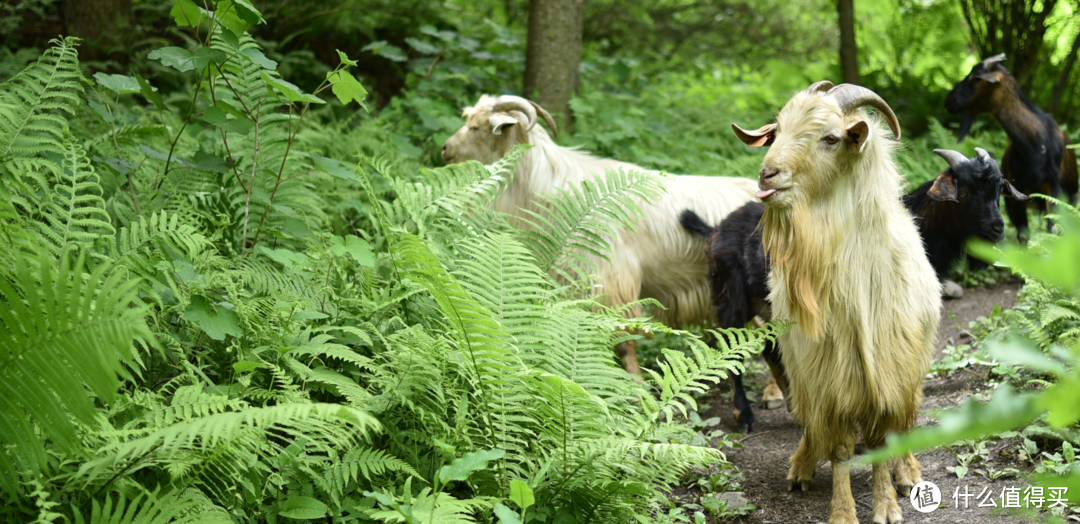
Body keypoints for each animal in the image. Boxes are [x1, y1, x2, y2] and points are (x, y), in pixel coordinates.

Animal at [678, 145, 1023, 430]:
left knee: (769, 348)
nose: (997, 228)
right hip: (729, 298)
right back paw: (745, 416)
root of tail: (714, 229)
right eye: (964, 192)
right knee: (730, 352)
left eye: (998, 189)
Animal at [734, 82, 946, 522]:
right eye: (776, 132)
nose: (767, 173)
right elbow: (840, 449)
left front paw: (887, 505)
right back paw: (801, 464)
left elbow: (882, 439)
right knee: (810, 425)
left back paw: (908, 474)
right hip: (801, 371)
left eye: (830, 138)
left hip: (913, 368)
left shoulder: (887, 371)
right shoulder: (829, 380)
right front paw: (844, 511)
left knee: (904, 422)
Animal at [941, 53, 1075, 240]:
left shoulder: (1053, 187)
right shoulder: (1015, 195)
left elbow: (1053, 229)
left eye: (975, 78)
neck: (1035, 146)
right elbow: (1023, 235)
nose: (949, 100)